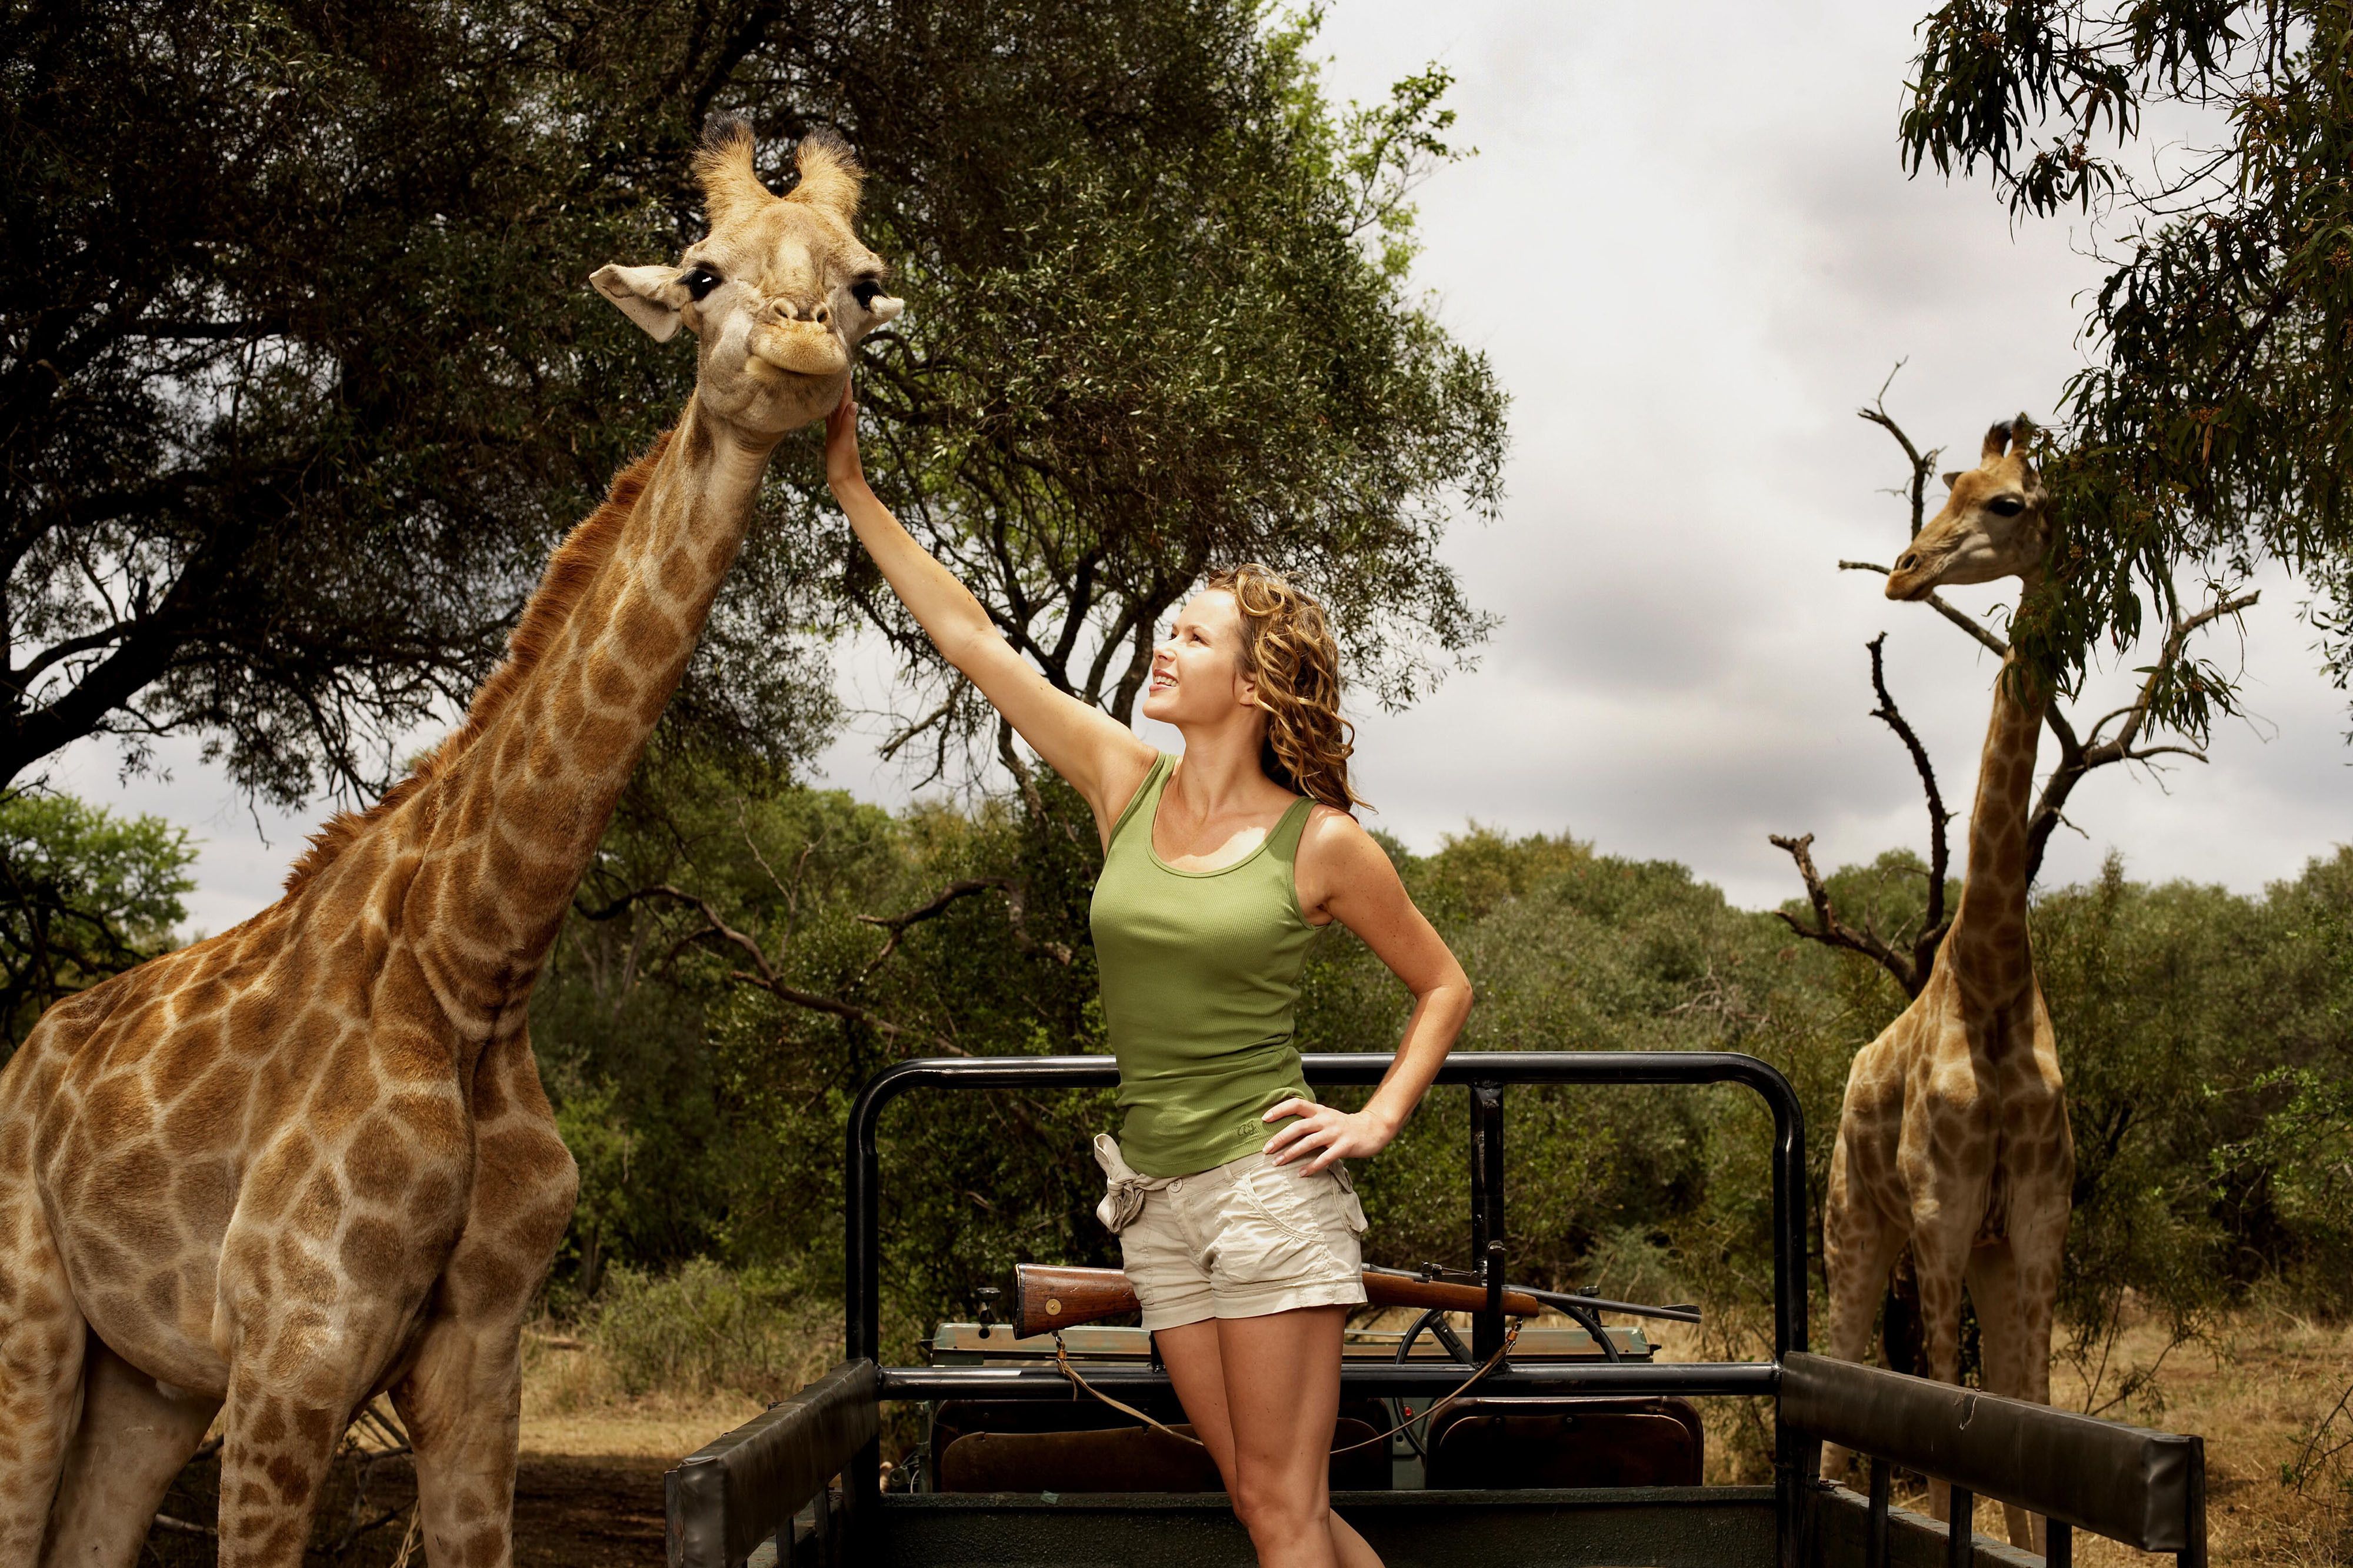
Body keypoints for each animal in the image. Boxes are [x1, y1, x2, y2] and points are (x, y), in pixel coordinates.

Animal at [0, 116, 901, 1567]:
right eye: (702, 272)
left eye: (863, 280)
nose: (802, 348)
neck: (478, 965)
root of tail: (25, 1055)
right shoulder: (294, 1349)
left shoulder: (482, 1356)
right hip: (32, 1320)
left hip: (148, 1375)